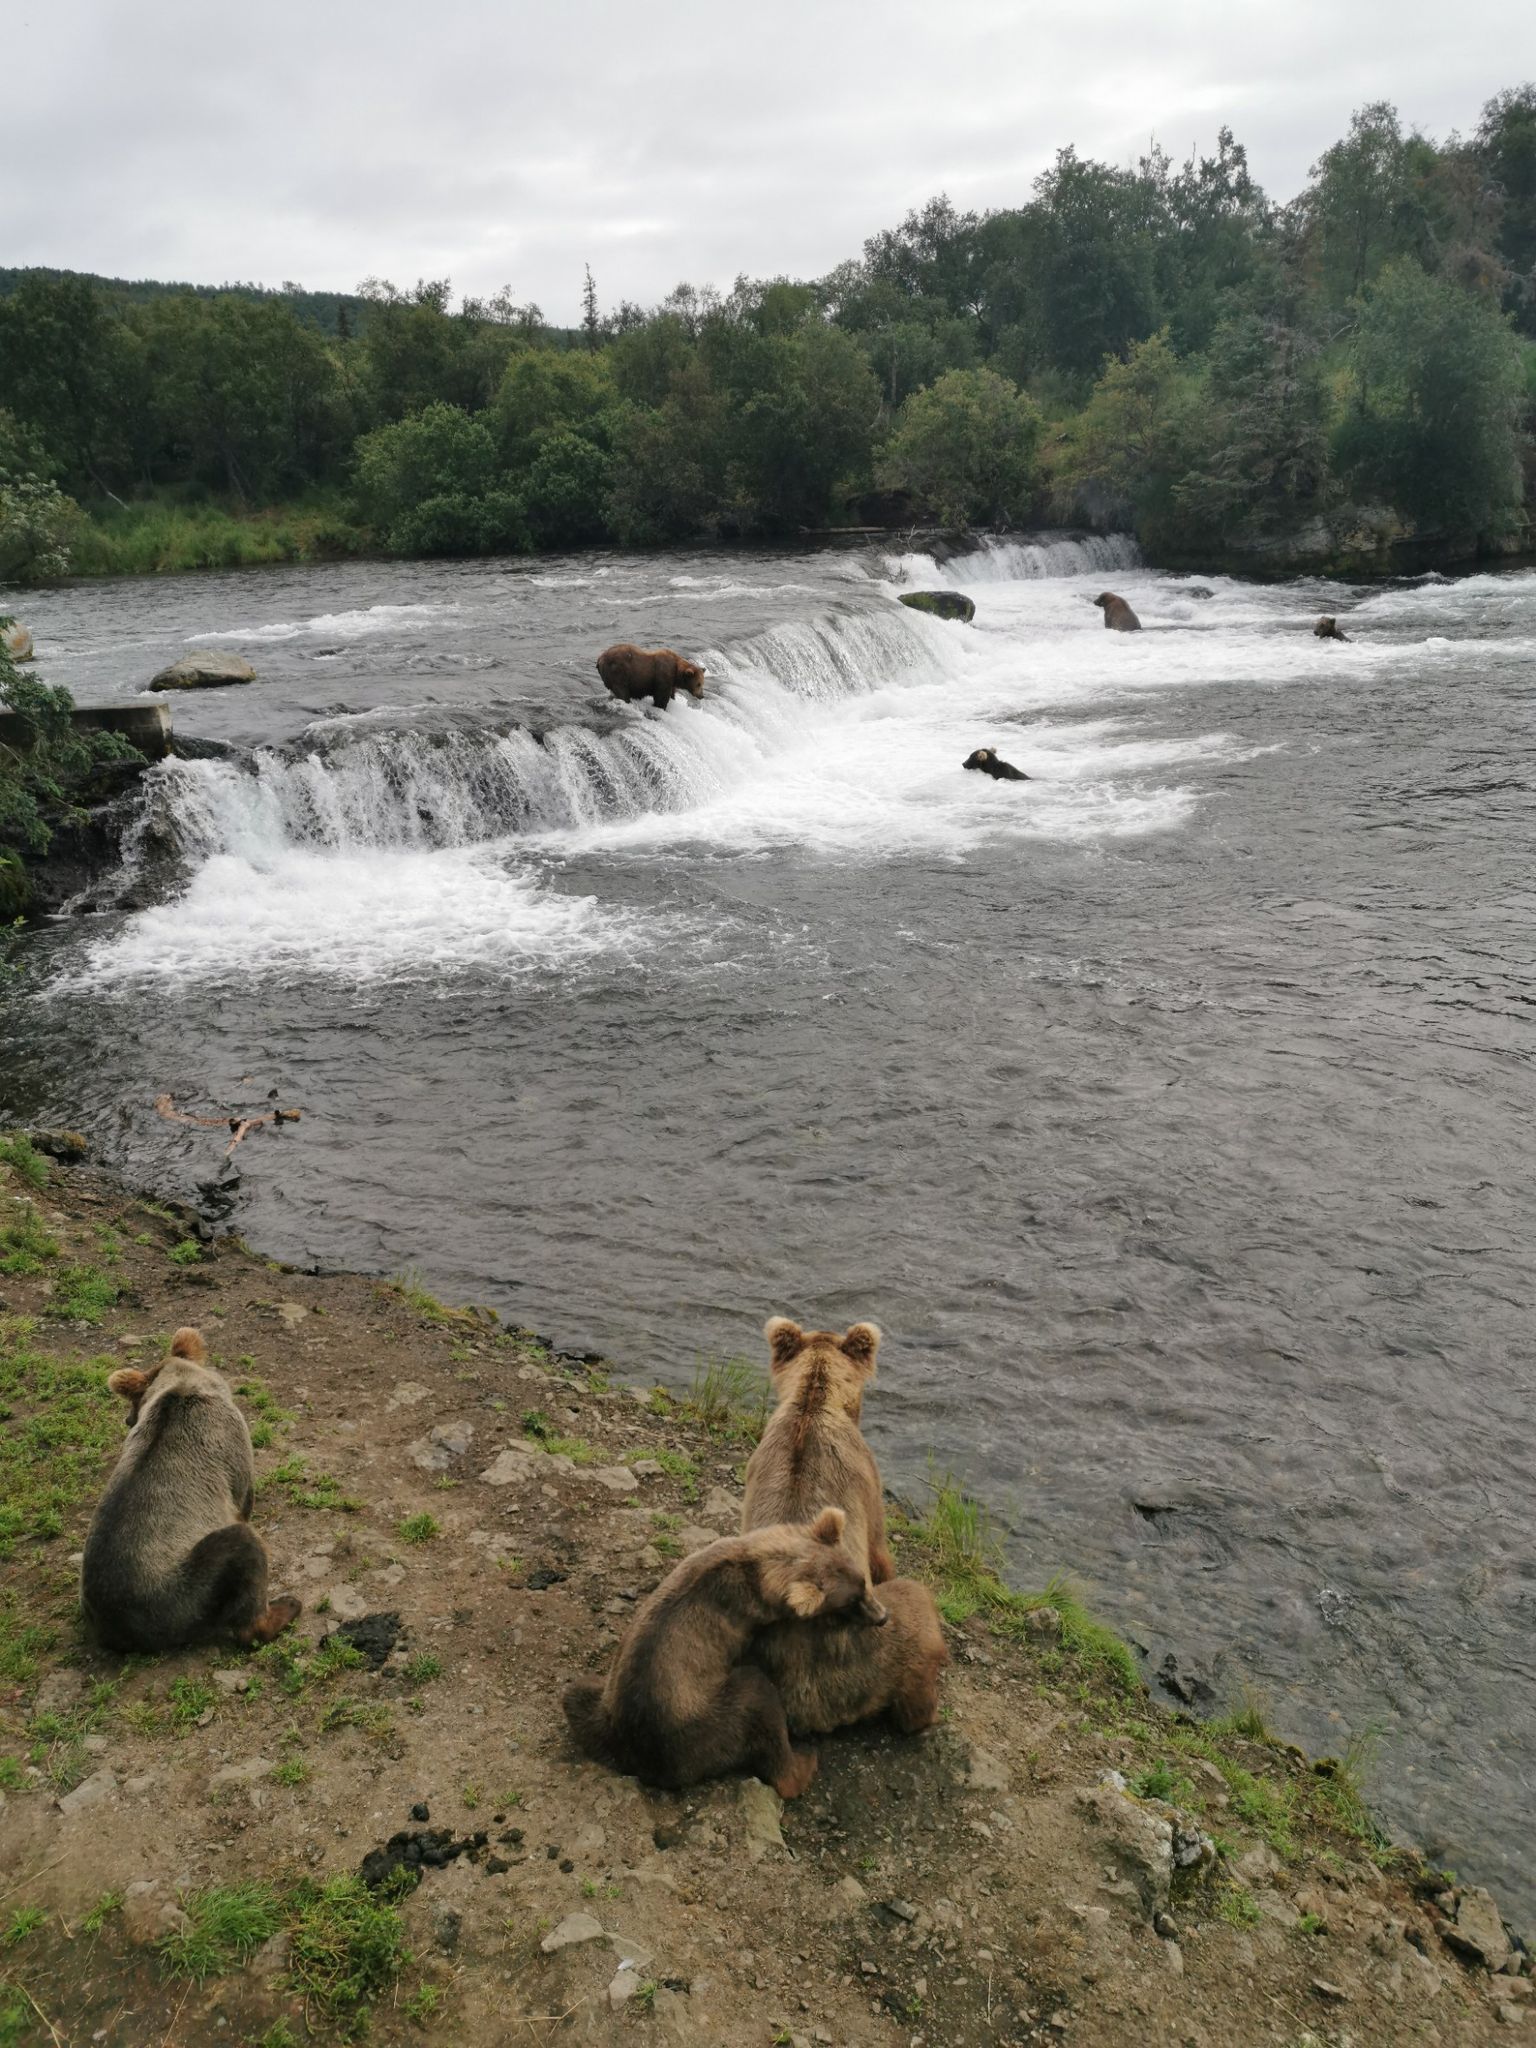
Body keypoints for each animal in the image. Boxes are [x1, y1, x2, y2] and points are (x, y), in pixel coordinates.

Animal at [81, 1327, 302, 1653]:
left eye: (134, 1401)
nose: (127, 1419)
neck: (181, 1389)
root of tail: (120, 1629)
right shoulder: (231, 1448)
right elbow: (242, 1498)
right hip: (183, 1589)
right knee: (242, 1549)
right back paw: (284, 1608)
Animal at [562, 1507, 886, 1797]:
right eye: (849, 1602)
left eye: (863, 1584)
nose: (882, 1616)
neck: (764, 1563)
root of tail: (646, 1764)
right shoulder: (748, 1615)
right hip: (704, 1720)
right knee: (759, 1703)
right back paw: (804, 1761)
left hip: (606, 1707)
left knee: (575, 1693)